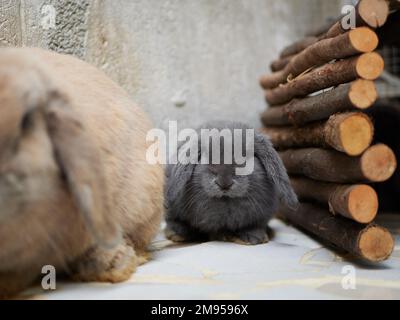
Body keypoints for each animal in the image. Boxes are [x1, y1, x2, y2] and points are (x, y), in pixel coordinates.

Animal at [164, 120, 298, 245]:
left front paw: (253, 238)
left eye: (244, 158)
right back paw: (179, 234)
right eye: (207, 157)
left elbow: (253, 226)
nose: (224, 183)